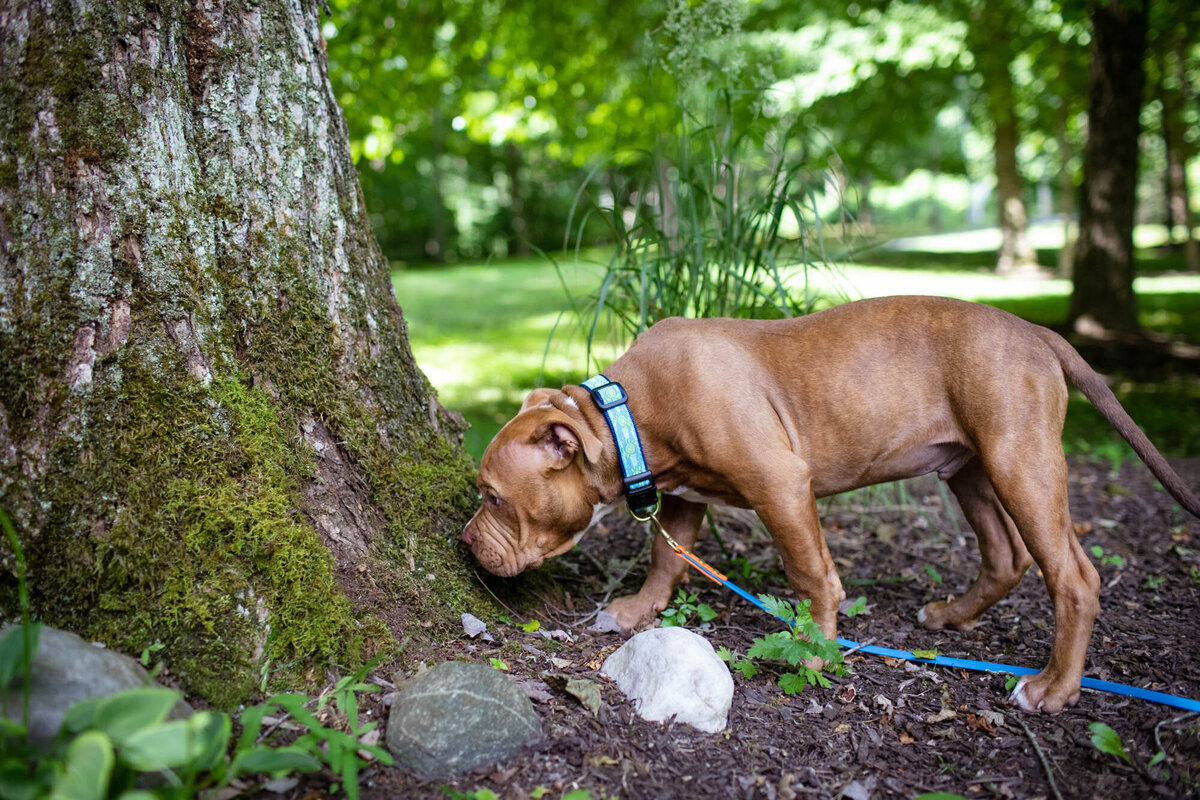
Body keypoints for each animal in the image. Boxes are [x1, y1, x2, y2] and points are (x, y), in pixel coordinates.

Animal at [460, 296, 1200, 714]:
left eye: (492, 495)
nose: (465, 541)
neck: (624, 417)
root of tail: (1038, 332)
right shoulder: (684, 500)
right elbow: (667, 563)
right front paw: (637, 611)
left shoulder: (780, 482)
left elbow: (810, 571)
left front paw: (815, 650)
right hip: (969, 468)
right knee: (1005, 555)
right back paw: (950, 617)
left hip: (1020, 462)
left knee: (1073, 575)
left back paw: (1053, 688)